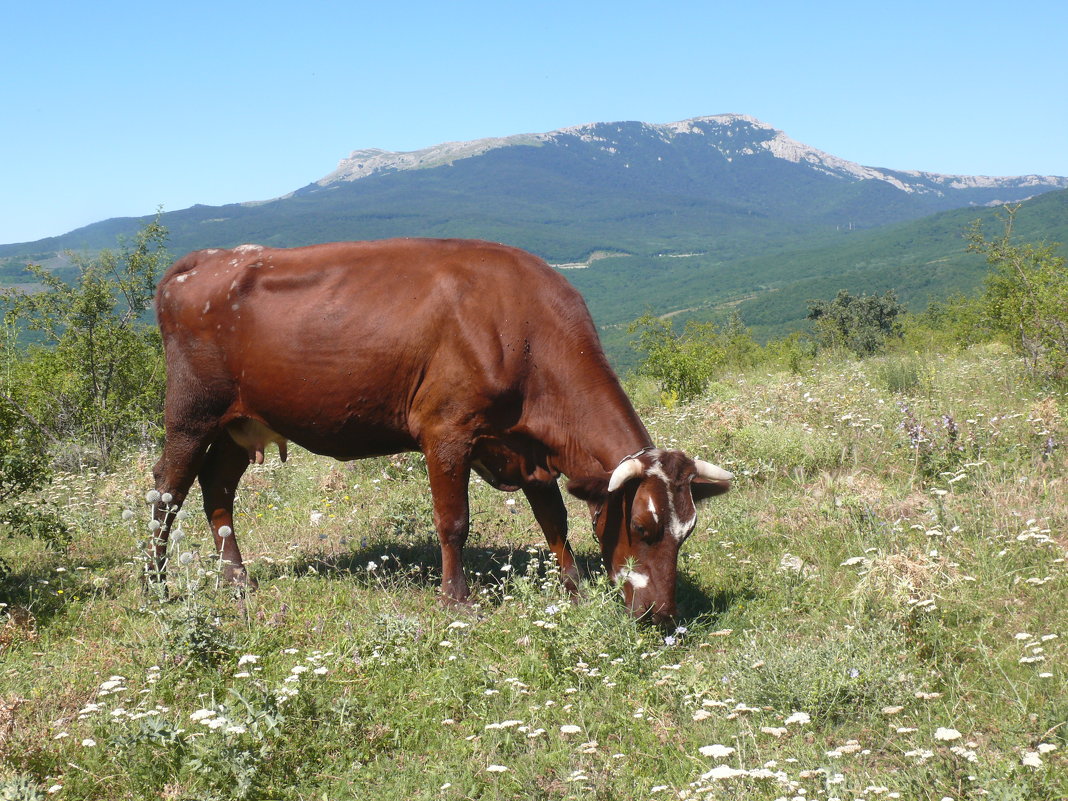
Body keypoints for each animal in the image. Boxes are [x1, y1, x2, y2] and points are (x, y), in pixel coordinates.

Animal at [150, 238, 730, 627]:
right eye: (643, 525)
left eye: (688, 532)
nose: (661, 615)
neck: (524, 331)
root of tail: (204, 259)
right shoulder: (446, 430)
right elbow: (454, 522)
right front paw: (457, 600)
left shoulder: (527, 449)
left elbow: (554, 520)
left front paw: (574, 588)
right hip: (191, 411)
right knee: (167, 488)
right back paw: (155, 584)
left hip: (239, 424)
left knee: (217, 488)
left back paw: (237, 579)